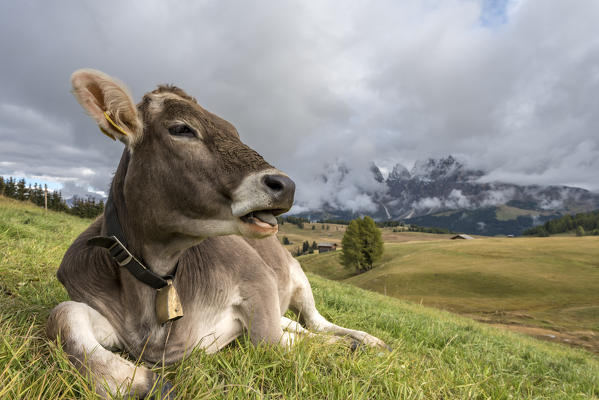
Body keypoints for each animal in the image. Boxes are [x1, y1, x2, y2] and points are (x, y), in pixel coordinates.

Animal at [44, 69, 386, 396]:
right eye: (181, 129)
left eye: (233, 130)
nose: (286, 186)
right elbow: (62, 315)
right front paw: (133, 381)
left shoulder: (258, 278)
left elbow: (270, 343)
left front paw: (346, 345)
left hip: (298, 276)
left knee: (317, 323)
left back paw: (367, 339)